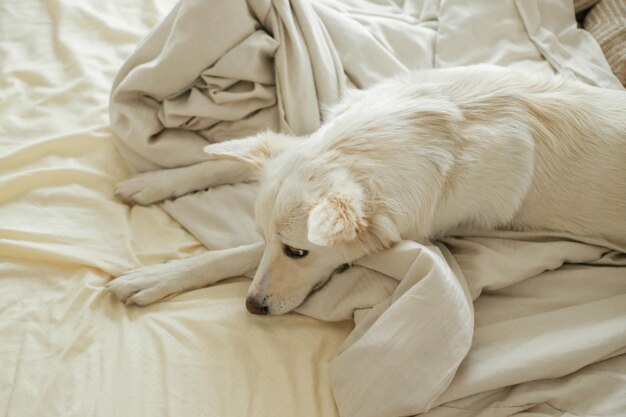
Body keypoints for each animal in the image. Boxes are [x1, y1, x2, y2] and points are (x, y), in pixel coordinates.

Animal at [108, 64, 624, 312]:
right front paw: (159, 180)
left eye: (297, 253)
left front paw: (158, 278)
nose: (253, 307)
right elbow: (221, 163)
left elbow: (233, 255)